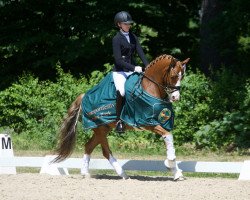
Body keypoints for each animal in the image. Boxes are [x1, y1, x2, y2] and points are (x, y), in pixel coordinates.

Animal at [53, 54, 188, 181]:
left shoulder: (162, 123)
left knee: (88, 146)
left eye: (182, 77)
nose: (176, 97)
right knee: (106, 151)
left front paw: (176, 172)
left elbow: (169, 139)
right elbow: (168, 136)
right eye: (173, 76)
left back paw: (85, 173)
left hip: (102, 128)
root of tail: (83, 97)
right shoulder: (148, 123)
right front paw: (170, 163)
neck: (149, 88)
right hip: (99, 128)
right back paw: (123, 174)